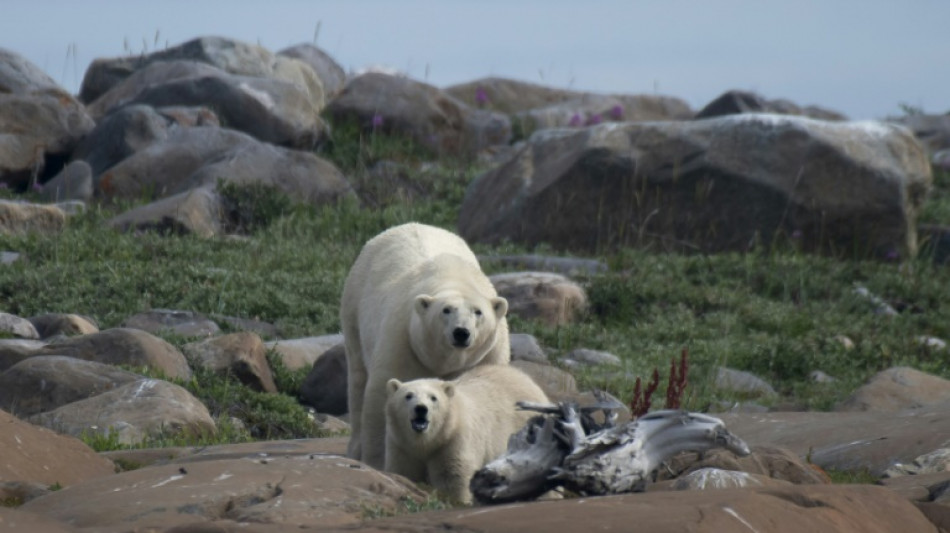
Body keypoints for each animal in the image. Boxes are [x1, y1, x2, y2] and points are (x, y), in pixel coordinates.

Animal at [338, 222, 510, 468]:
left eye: (478, 312)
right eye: (446, 310)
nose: (461, 333)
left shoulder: (489, 353)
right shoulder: (403, 341)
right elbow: (383, 396)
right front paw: (379, 463)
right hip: (354, 306)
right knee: (358, 379)